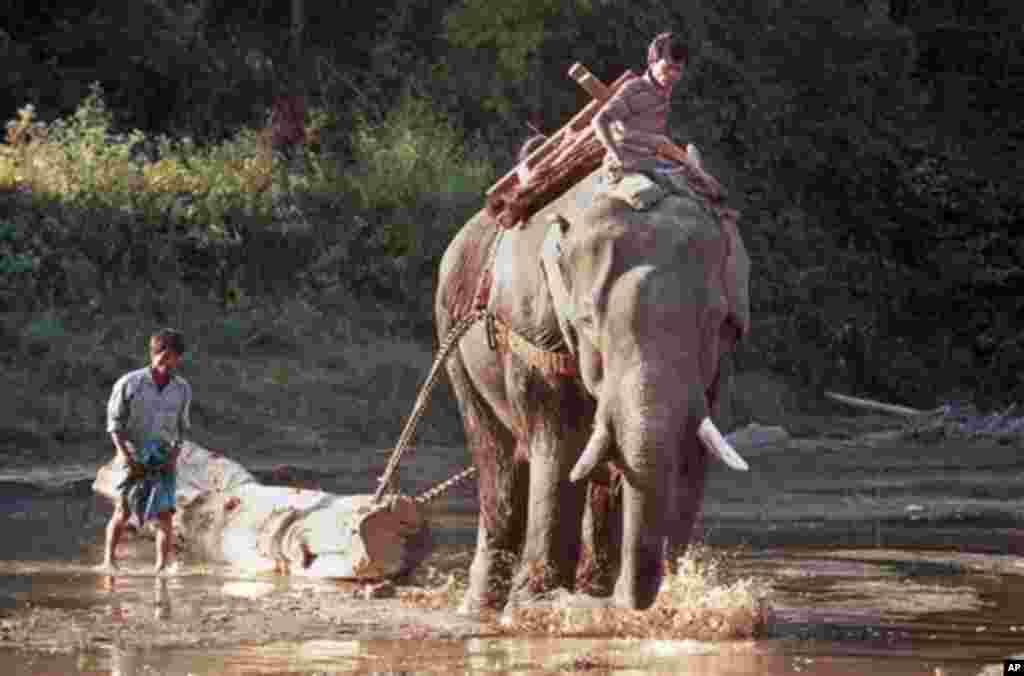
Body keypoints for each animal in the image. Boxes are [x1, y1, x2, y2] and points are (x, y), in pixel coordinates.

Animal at [434, 167, 753, 614]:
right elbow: (560, 443)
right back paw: (484, 606)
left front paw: (674, 595)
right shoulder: (535, 338)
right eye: (587, 322)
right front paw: (535, 605)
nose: (631, 601)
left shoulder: (714, 370)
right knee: (496, 455)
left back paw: (591, 587)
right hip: (452, 335)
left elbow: (692, 450)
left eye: (715, 319)